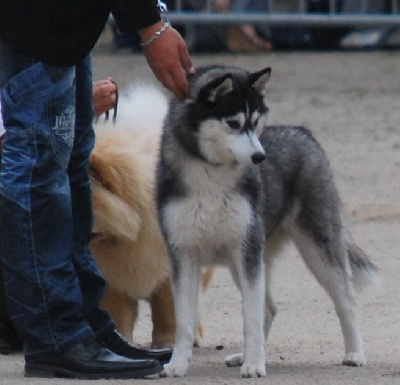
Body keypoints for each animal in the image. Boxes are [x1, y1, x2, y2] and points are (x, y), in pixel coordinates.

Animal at [156, 66, 378, 378]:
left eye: (255, 122)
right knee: (269, 308)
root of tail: (302, 131)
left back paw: (355, 353)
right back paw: (244, 354)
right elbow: (185, 322)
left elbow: (250, 318)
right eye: (234, 123)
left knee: (345, 301)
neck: (210, 177)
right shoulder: (183, 254)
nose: (260, 156)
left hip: (317, 249)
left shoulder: (246, 251)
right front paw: (177, 364)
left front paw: (253, 364)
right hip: (246, 260)